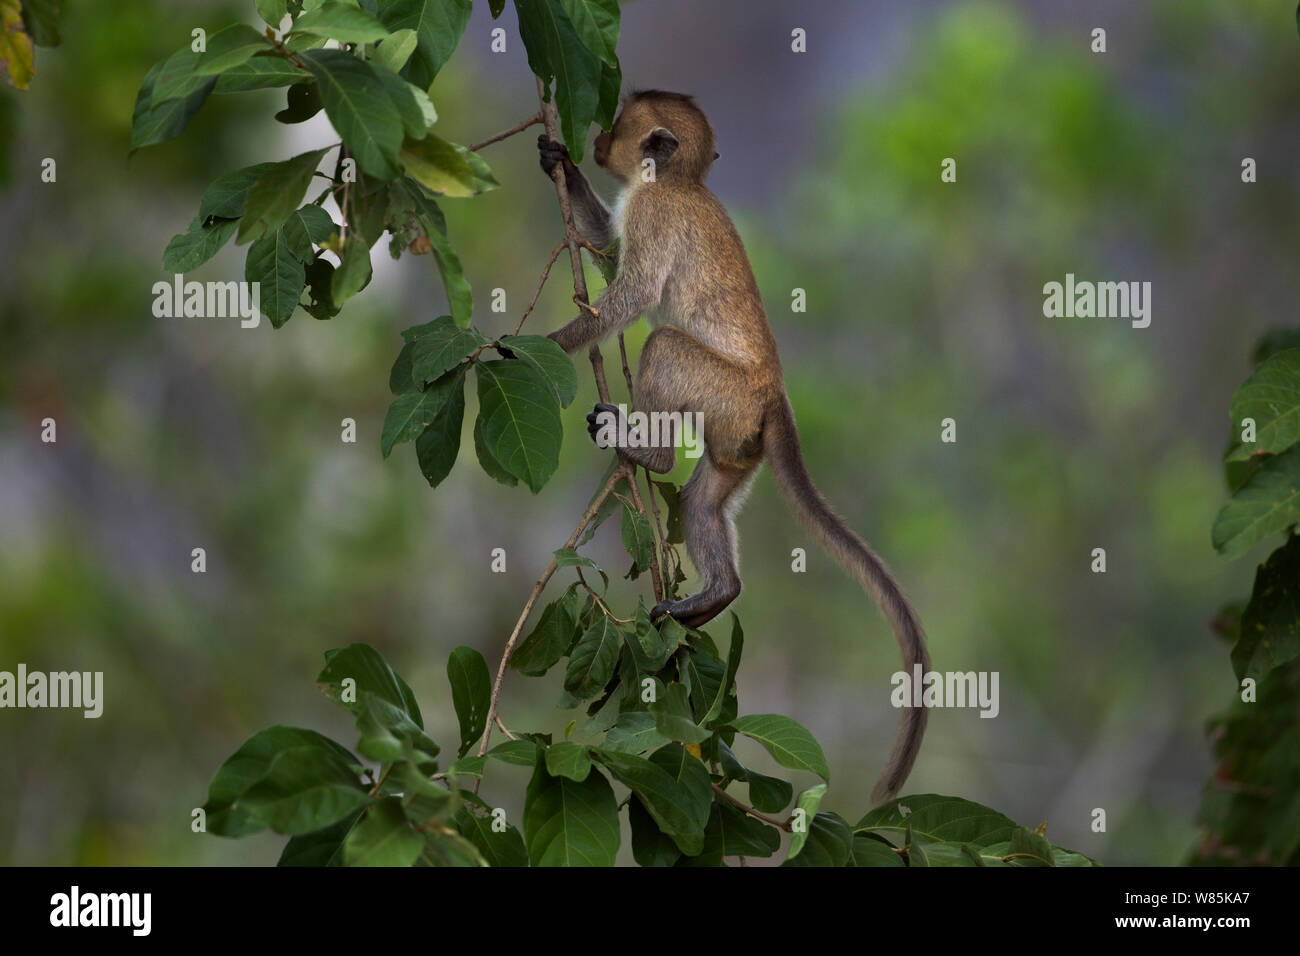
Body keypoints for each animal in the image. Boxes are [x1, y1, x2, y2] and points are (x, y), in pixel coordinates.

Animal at [540, 93, 935, 806]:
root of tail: (775, 396)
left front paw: (531, 345)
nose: (597, 140)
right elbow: (608, 242)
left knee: (664, 345)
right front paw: (556, 160)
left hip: (724, 394)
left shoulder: (657, 212)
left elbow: (632, 294)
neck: (676, 183)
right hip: (737, 438)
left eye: (619, 122)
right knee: (703, 501)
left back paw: (649, 458)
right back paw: (717, 594)